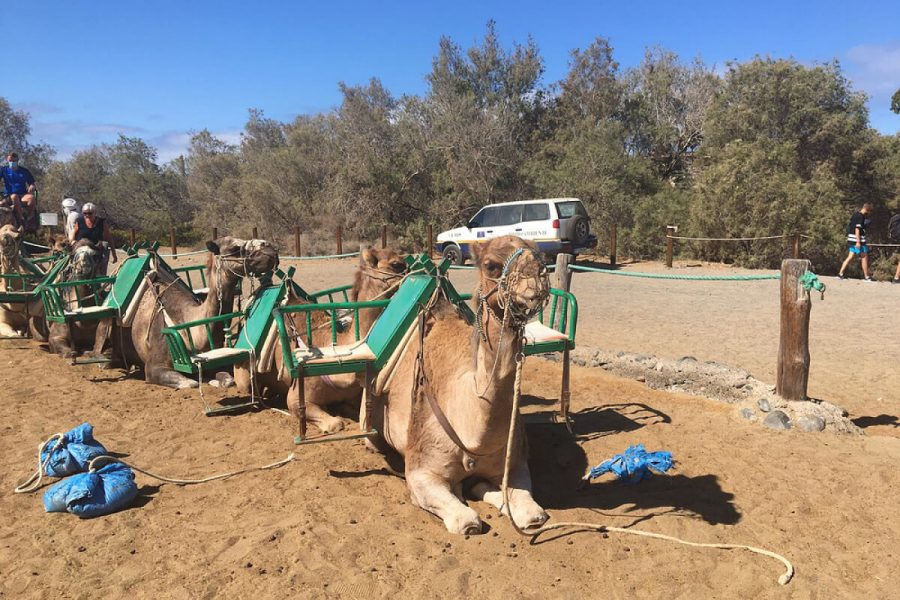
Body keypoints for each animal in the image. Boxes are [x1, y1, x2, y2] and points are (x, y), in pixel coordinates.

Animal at [118, 237, 278, 392]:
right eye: (234, 248)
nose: (269, 247)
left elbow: (228, 380)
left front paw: (214, 381)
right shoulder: (154, 367)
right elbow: (191, 383)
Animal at [370, 234, 552, 536]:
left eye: (540, 255)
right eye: (490, 264)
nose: (536, 281)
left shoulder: (516, 464)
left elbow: (532, 512)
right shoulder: (421, 472)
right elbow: (467, 521)